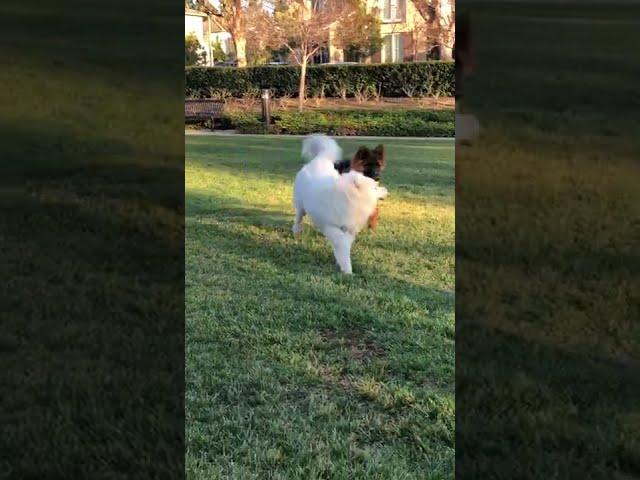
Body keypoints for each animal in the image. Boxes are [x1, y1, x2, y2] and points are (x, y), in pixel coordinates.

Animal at [292, 134, 388, 274]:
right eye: (374, 188)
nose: (387, 190)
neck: (349, 198)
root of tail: (321, 159)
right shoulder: (332, 227)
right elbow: (342, 245)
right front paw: (348, 270)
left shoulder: (349, 229)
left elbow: (344, 248)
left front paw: (341, 264)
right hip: (300, 206)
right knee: (298, 218)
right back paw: (296, 230)